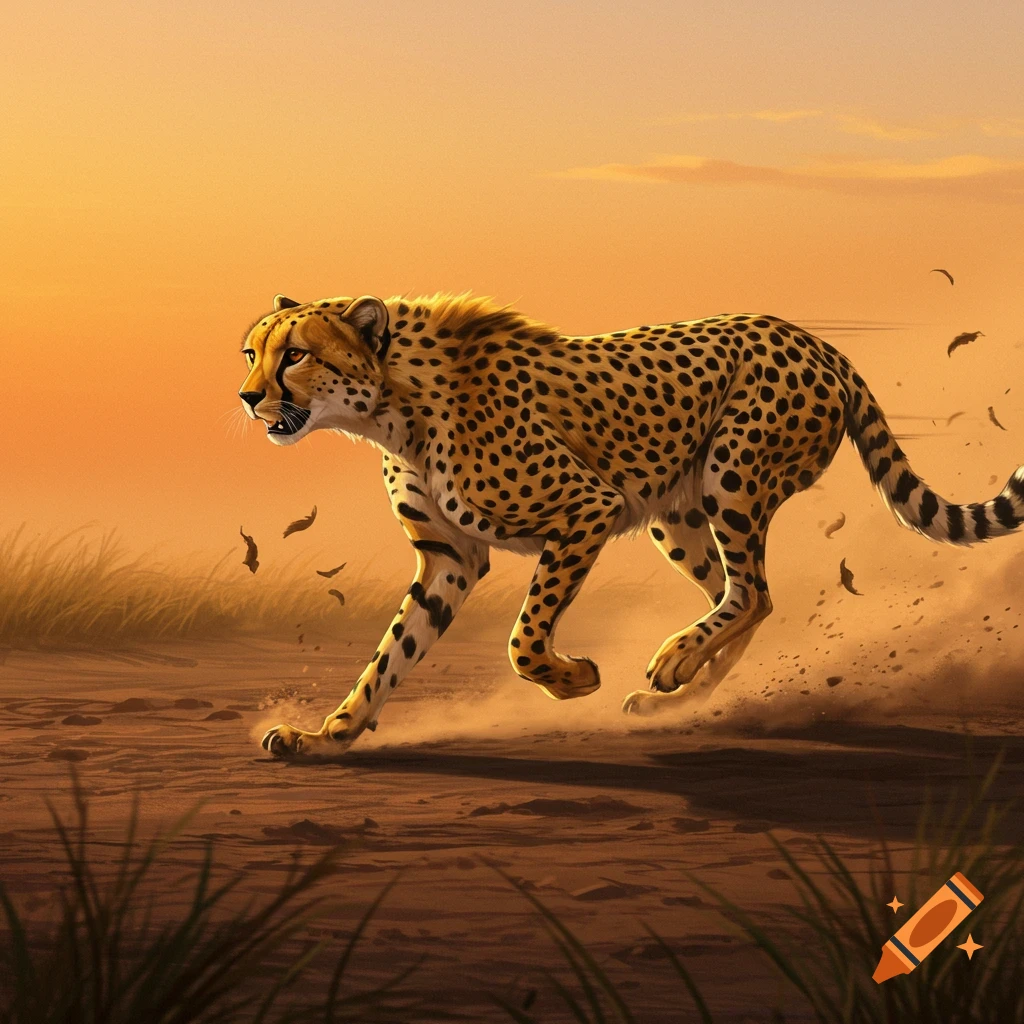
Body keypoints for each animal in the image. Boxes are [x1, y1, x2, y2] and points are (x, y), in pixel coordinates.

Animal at [237, 291, 1024, 758]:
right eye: (253, 352)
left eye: (296, 354)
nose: (247, 397)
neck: (390, 404)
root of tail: (811, 338)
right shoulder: (449, 559)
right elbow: (391, 653)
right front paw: (329, 734)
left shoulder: (588, 506)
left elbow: (524, 640)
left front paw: (575, 678)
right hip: (677, 516)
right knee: (750, 597)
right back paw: (677, 694)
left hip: (732, 473)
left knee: (750, 591)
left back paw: (674, 662)